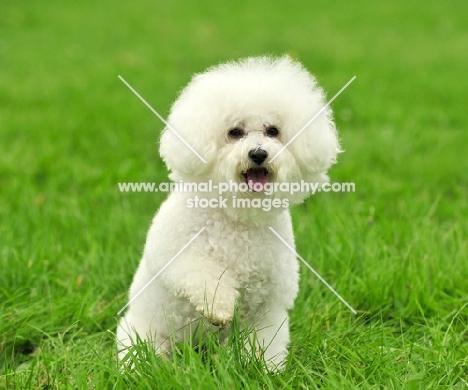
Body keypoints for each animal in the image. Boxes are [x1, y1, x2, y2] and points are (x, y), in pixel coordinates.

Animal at [117, 54, 340, 368]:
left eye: (273, 131)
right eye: (235, 132)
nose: (258, 153)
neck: (237, 216)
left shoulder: (269, 305)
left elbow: (264, 343)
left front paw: (262, 368)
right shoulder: (175, 254)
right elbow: (203, 273)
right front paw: (220, 306)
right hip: (141, 335)